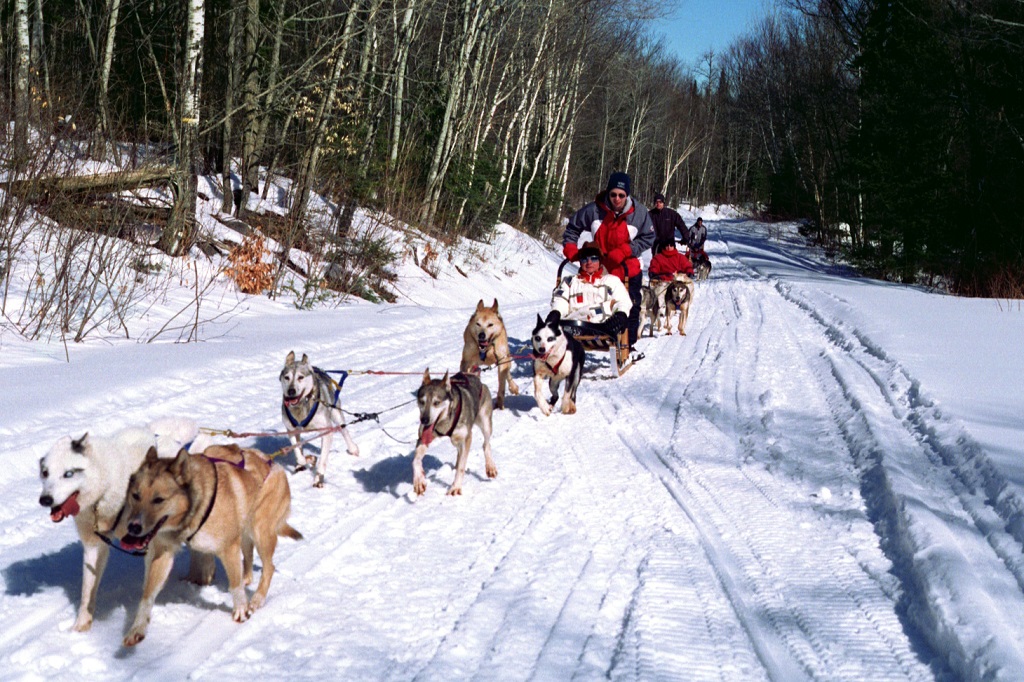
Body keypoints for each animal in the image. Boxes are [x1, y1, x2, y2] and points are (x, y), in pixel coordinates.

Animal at [37, 413, 199, 630]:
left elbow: (148, 587)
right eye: (45, 473)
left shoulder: (153, 544)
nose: (45, 500)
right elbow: (87, 590)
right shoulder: (94, 544)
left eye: (68, 474)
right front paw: (81, 625)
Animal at [119, 444, 301, 647]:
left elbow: (235, 585)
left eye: (158, 499)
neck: (192, 512)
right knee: (248, 555)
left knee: (269, 567)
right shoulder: (163, 552)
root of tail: (273, 463)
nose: (133, 527)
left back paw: (257, 599)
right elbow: (148, 595)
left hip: (261, 533)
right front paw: (137, 628)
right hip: (245, 533)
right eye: (136, 495)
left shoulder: (228, 547)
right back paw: (247, 579)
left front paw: (241, 610)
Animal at [280, 348, 360, 485]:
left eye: (300, 377)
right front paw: (307, 460)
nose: (291, 391)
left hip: (336, 413)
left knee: (344, 430)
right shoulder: (291, 430)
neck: (303, 404)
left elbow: (322, 459)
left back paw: (353, 448)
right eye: (287, 377)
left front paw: (319, 477)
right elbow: (298, 453)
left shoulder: (327, 431)